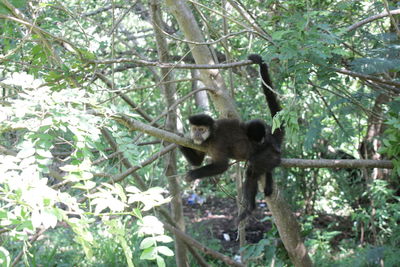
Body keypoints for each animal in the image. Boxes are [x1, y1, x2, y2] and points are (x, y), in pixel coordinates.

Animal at [180, 54, 282, 222]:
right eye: (194, 129)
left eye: (202, 129)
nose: (196, 134)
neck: (210, 136)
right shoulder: (201, 143)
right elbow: (197, 161)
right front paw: (176, 135)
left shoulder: (217, 143)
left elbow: (222, 166)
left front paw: (193, 174)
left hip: (268, 153)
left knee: (252, 169)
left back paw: (250, 207)